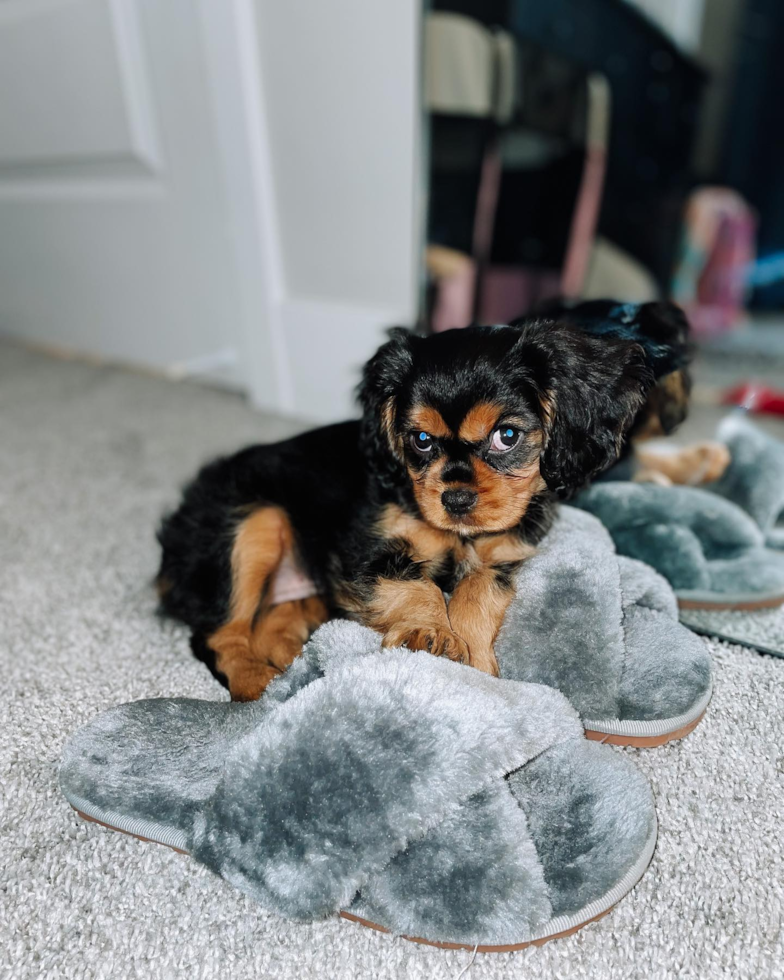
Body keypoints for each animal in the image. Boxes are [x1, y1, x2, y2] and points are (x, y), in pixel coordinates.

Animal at [158, 310, 656, 700]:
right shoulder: (368, 552)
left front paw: (473, 660)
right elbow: (415, 585)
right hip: (254, 525)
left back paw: (293, 658)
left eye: (507, 436)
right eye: (420, 440)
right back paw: (257, 683)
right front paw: (428, 631)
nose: (455, 498)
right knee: (217, 636)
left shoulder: (505, 554)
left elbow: (477, 590)